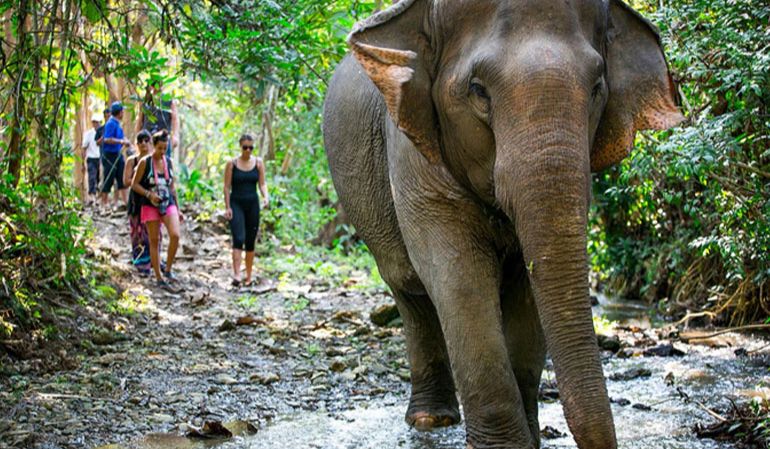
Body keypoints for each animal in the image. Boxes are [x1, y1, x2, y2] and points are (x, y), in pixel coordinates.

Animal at [322, 0, 683, 448]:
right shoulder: (411, 149)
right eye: (478, 89)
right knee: (409, 289)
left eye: (598, 86)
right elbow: (459, 277)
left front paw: (531, 439)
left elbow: (528, 291)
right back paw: (430, 420)